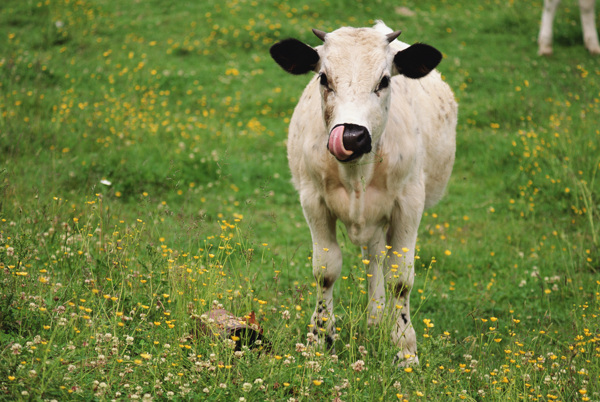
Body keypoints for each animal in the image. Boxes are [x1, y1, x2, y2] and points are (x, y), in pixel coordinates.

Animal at [270, 22, 458, 368]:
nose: (352, 136)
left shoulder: (409, 204)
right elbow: (326, 270)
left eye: (384, 80)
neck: (357, 172)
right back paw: (374, 319)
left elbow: (400, 277)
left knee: (379, 261)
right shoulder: (313, 201)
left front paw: (405, 348)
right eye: (323, 78)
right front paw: (319, 339)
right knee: (373, 257)